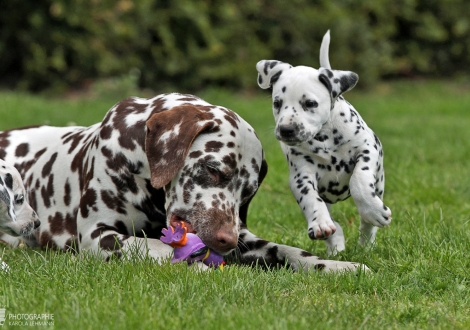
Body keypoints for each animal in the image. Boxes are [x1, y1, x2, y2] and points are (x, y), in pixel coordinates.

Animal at [0, 92, 368, 270]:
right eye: (214, 170)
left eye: (247, 193)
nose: (226, 241)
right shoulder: (98, 236)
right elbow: (160, 247)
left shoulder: (248, 238)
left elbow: (289, 251)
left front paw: (334, 265)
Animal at [255, 31, 392, 254]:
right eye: (277, 103)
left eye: (310, 103)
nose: (286, 130)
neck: (325, 139)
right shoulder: (301, 175)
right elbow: (310, 198)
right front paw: (320, 223)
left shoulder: (368, 148)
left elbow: (358, 180)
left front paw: (372, 210)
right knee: (334, 224)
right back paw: (335, 243)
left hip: (379, 183)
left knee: (367, 225)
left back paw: (366, 239)